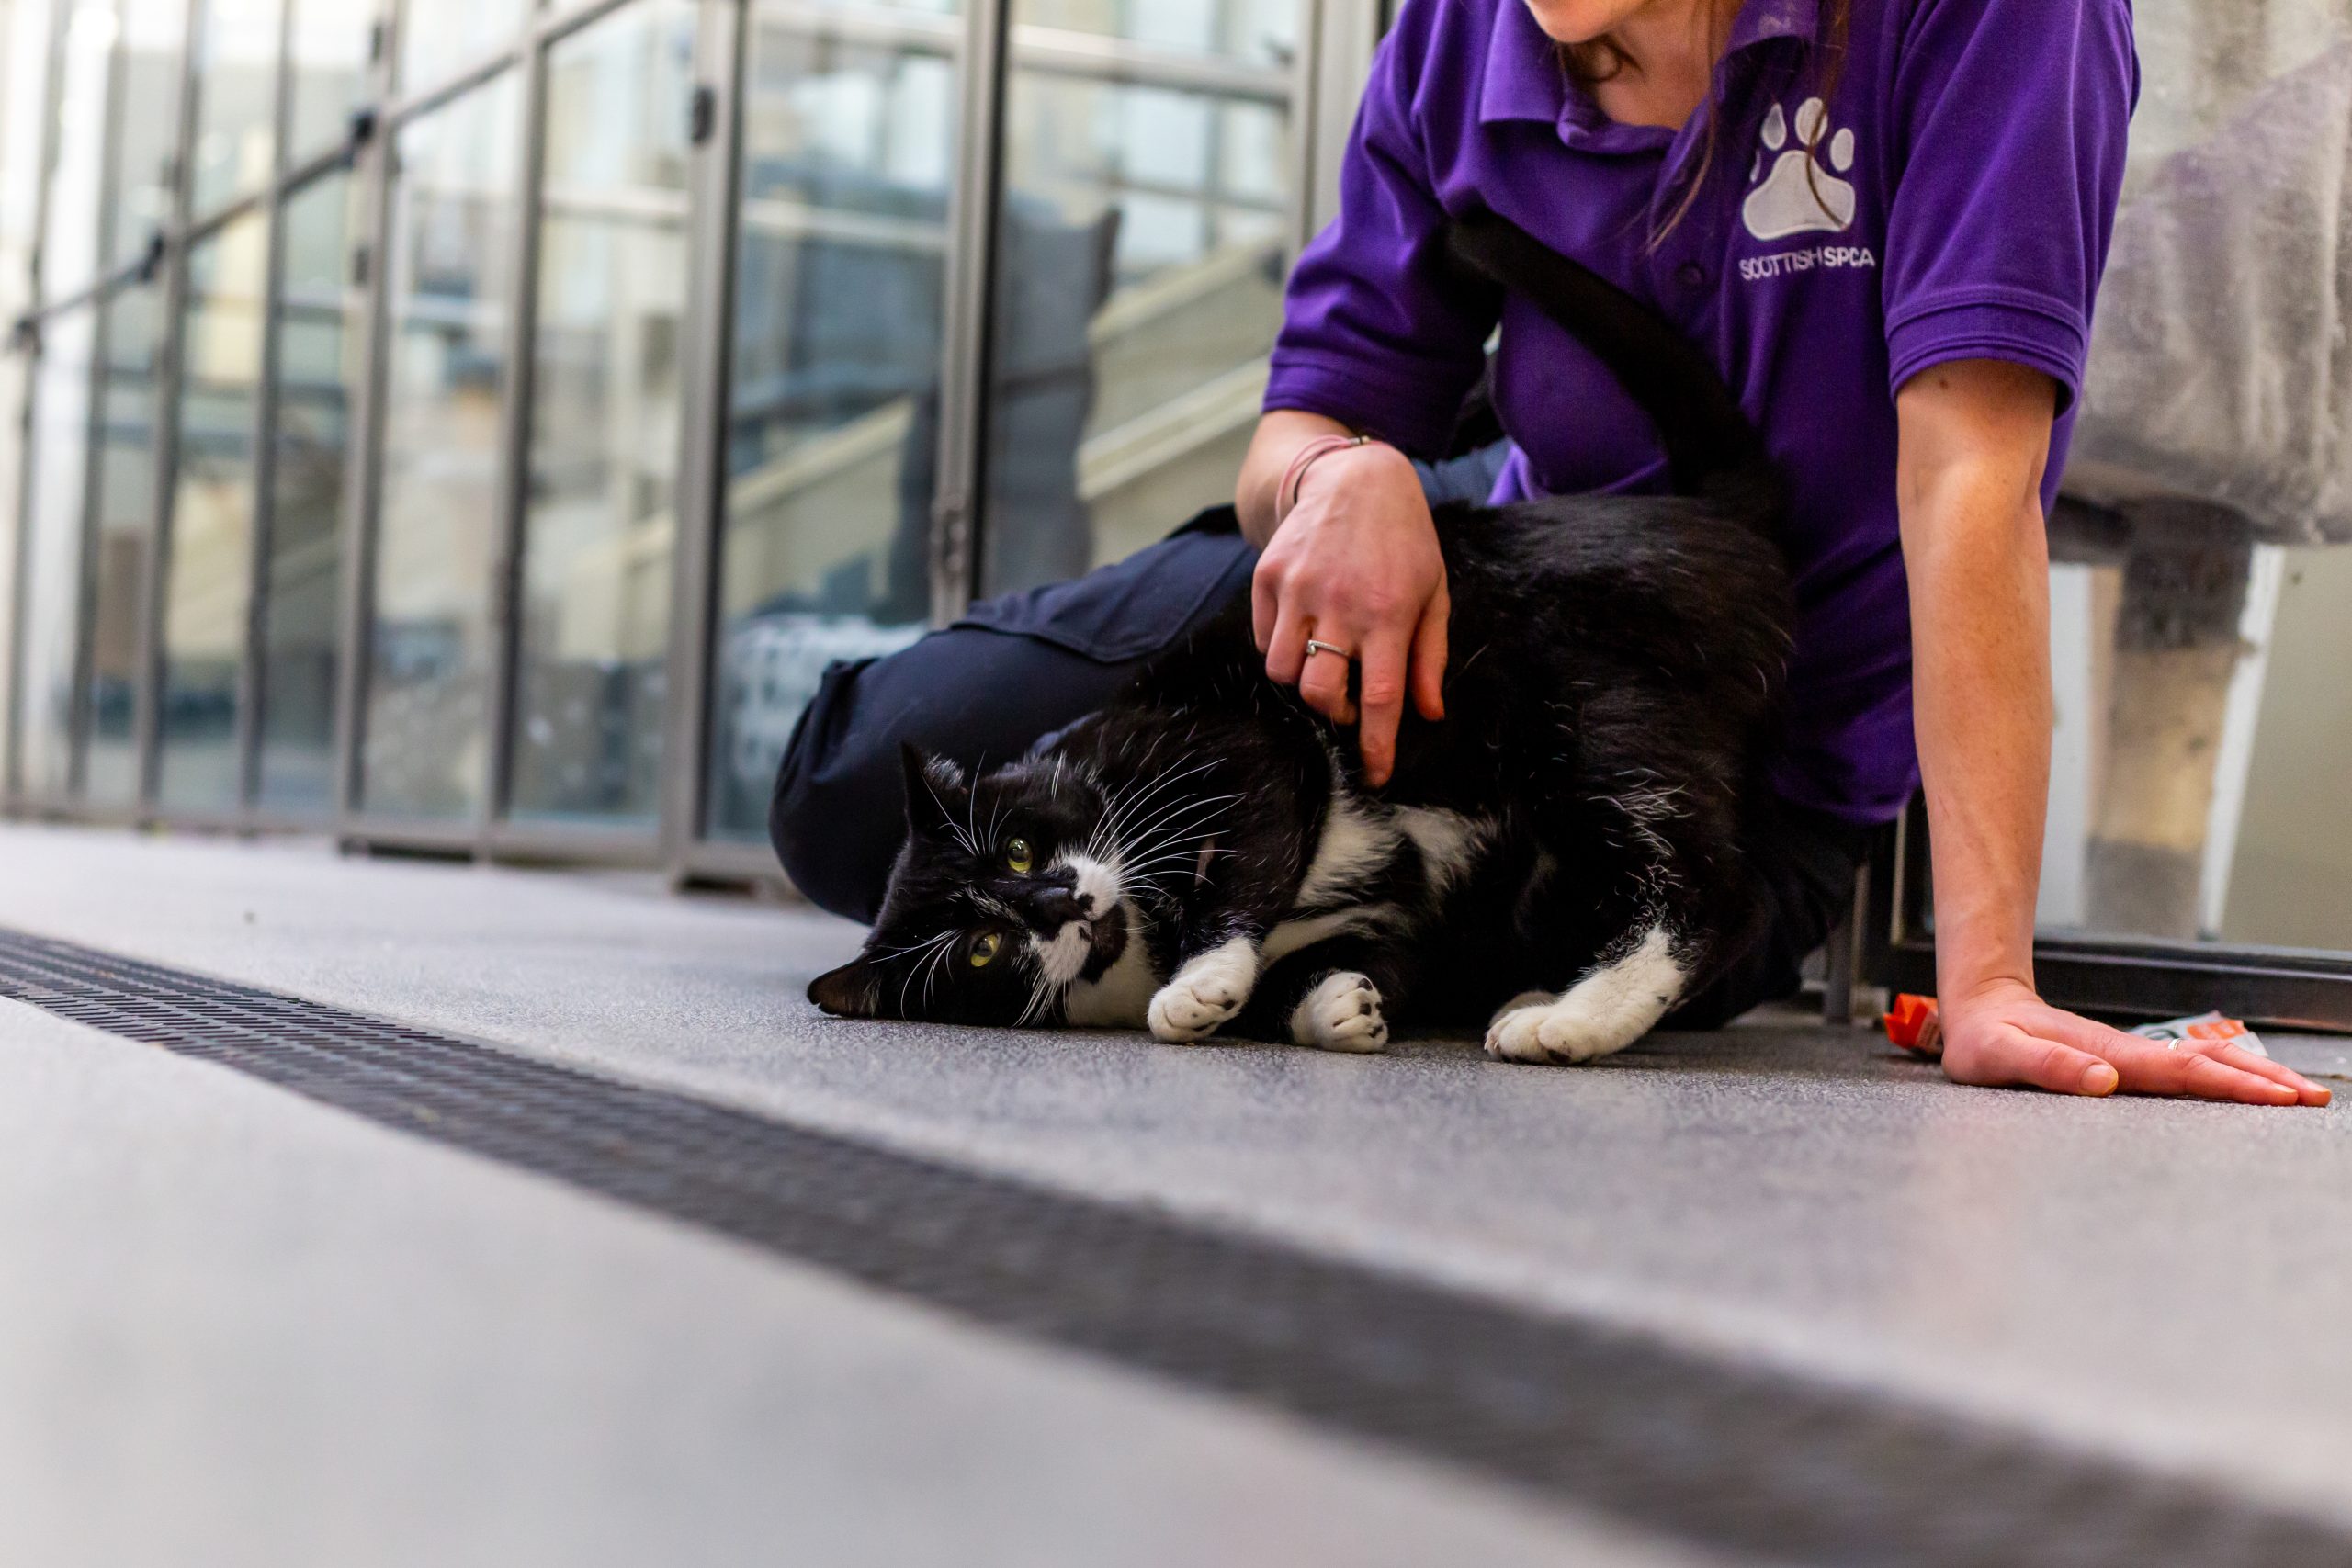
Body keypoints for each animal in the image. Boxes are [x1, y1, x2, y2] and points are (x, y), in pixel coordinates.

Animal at [818, 215, 1787, 1066]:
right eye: (982, 946)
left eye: (1018, 846)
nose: (1060, 902)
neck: (1141, 928)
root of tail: (1713, 514)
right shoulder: (1407, 935)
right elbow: (1337, 970)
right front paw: (1336, 1006)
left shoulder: (1245, 742)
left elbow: (1248, 855)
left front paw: (1199, 982)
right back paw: (1542, 993)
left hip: (1590, 712)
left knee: (1712, 893)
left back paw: (1572, 1020)